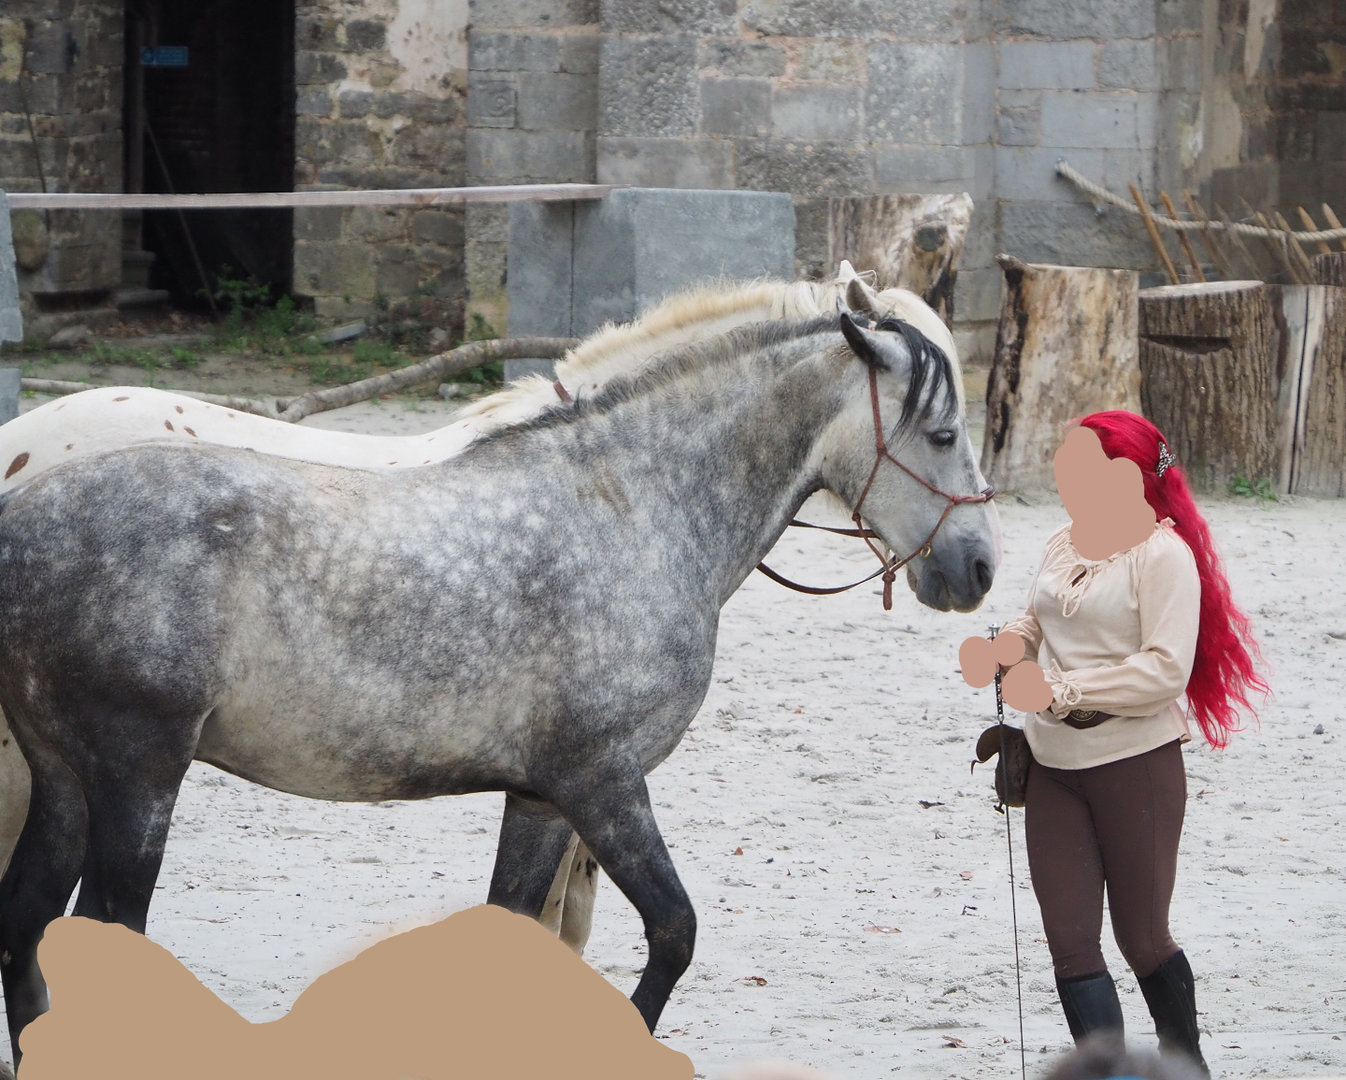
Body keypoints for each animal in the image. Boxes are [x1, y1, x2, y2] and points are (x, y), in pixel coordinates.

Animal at [0, 309, 998, 1057]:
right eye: (944, 432)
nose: (981, 568)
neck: (630, 508)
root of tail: (21, 516)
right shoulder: (603, 782)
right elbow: (674, 933)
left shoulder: (542, 797)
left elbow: (513, 931)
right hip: (139, 779)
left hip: (65, 780)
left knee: (26, 930)